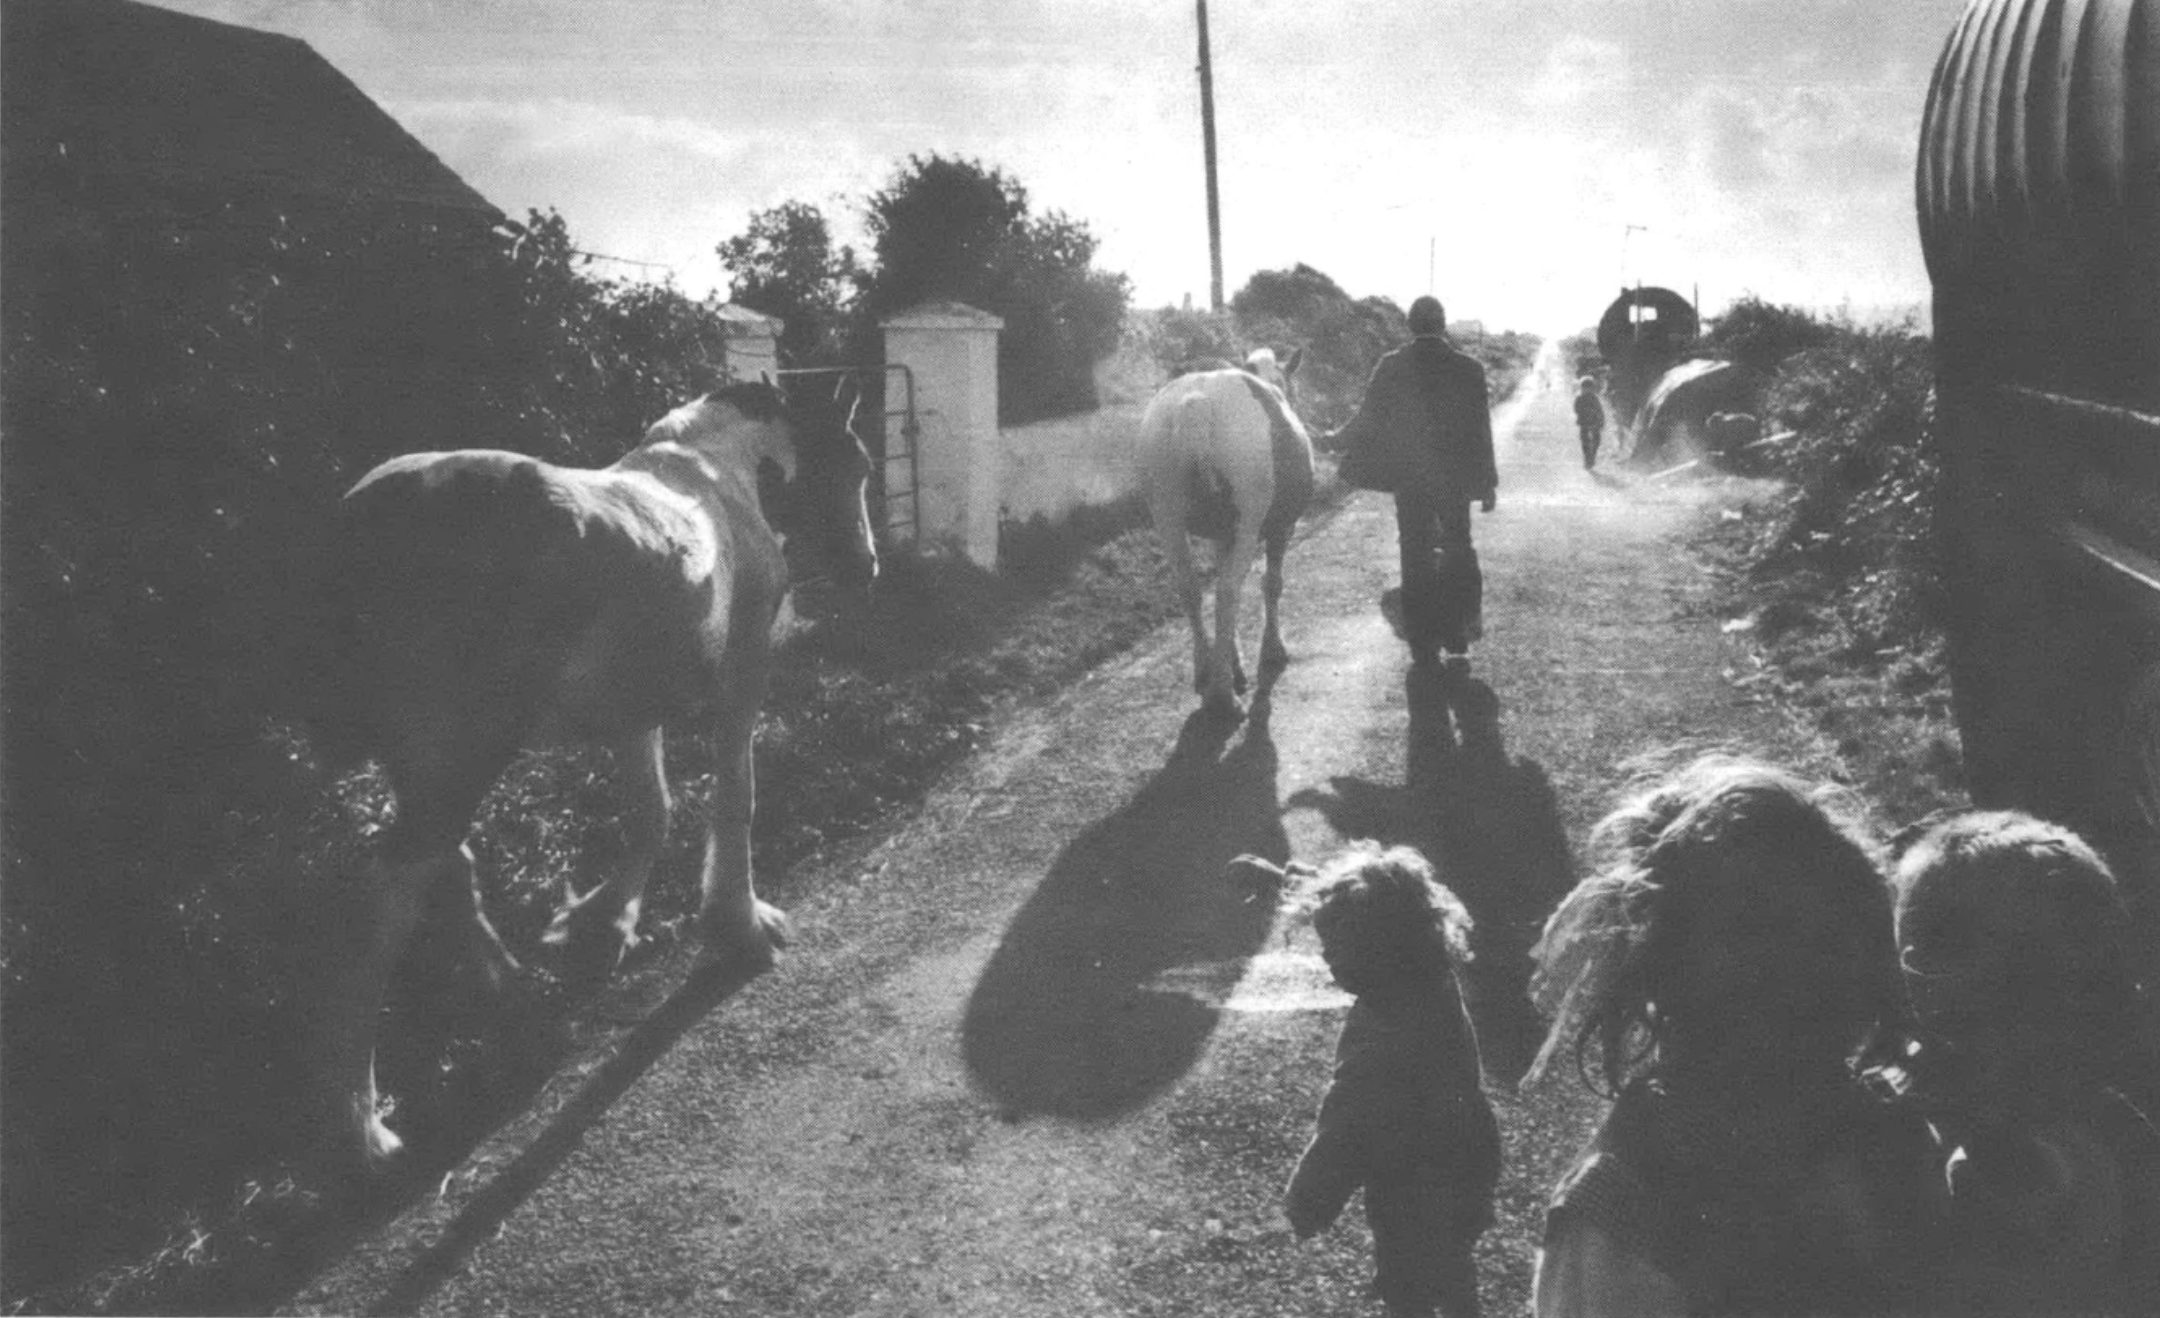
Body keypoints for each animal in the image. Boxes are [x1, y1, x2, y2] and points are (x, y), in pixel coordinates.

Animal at [298, 373, 876, 1166]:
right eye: (858, 465)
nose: (867, 567)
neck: (714, 477)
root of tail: (364, 520)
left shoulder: (637, 711)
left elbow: (653, 810)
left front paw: (603, 922)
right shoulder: (742, 678)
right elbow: (735, 800)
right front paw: (743, 927)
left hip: (430, 768)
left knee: (448, 866)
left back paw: (517, 1005)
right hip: (461, 760)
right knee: (386, 906)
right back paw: (363, 1132)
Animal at [1140, 345, 1304, 717]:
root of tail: (1197, 401)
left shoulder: (1222, 535)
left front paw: (1232, 660)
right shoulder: (1280, 526)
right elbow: (1272, 584)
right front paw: (1271, 650)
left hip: (1166, 515)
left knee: (1190, 590)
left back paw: (1206, 672)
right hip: (1249, 519)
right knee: (1229, 591)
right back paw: (1222, 697)